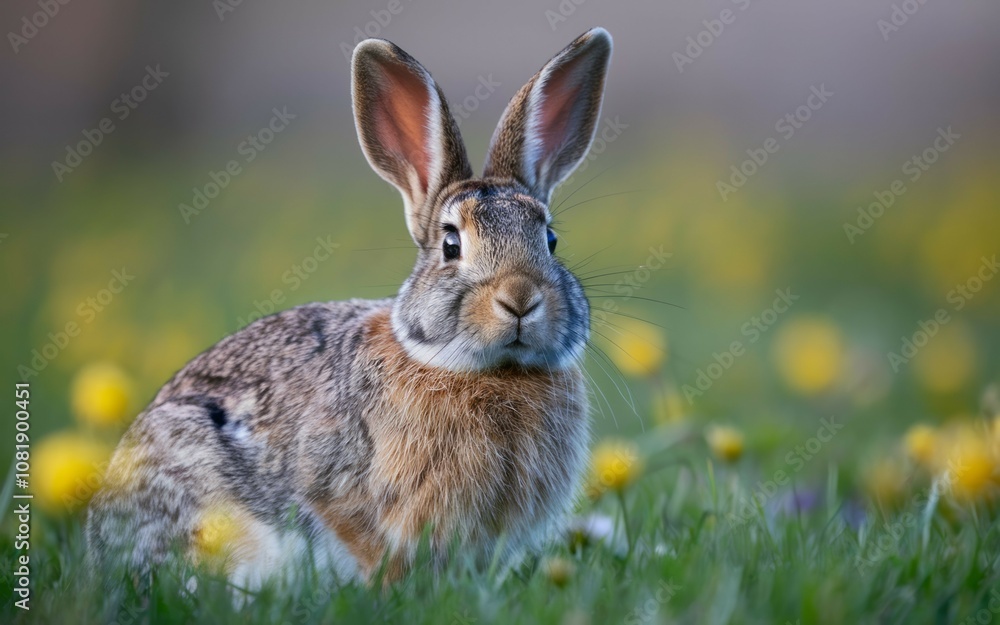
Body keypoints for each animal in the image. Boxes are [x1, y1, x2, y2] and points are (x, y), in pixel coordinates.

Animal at [87, 27, 613, 590]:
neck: (488, 371)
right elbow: (358, 534)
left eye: (551, 240)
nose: (520, 298)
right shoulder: (333, 486)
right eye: (451, 244)